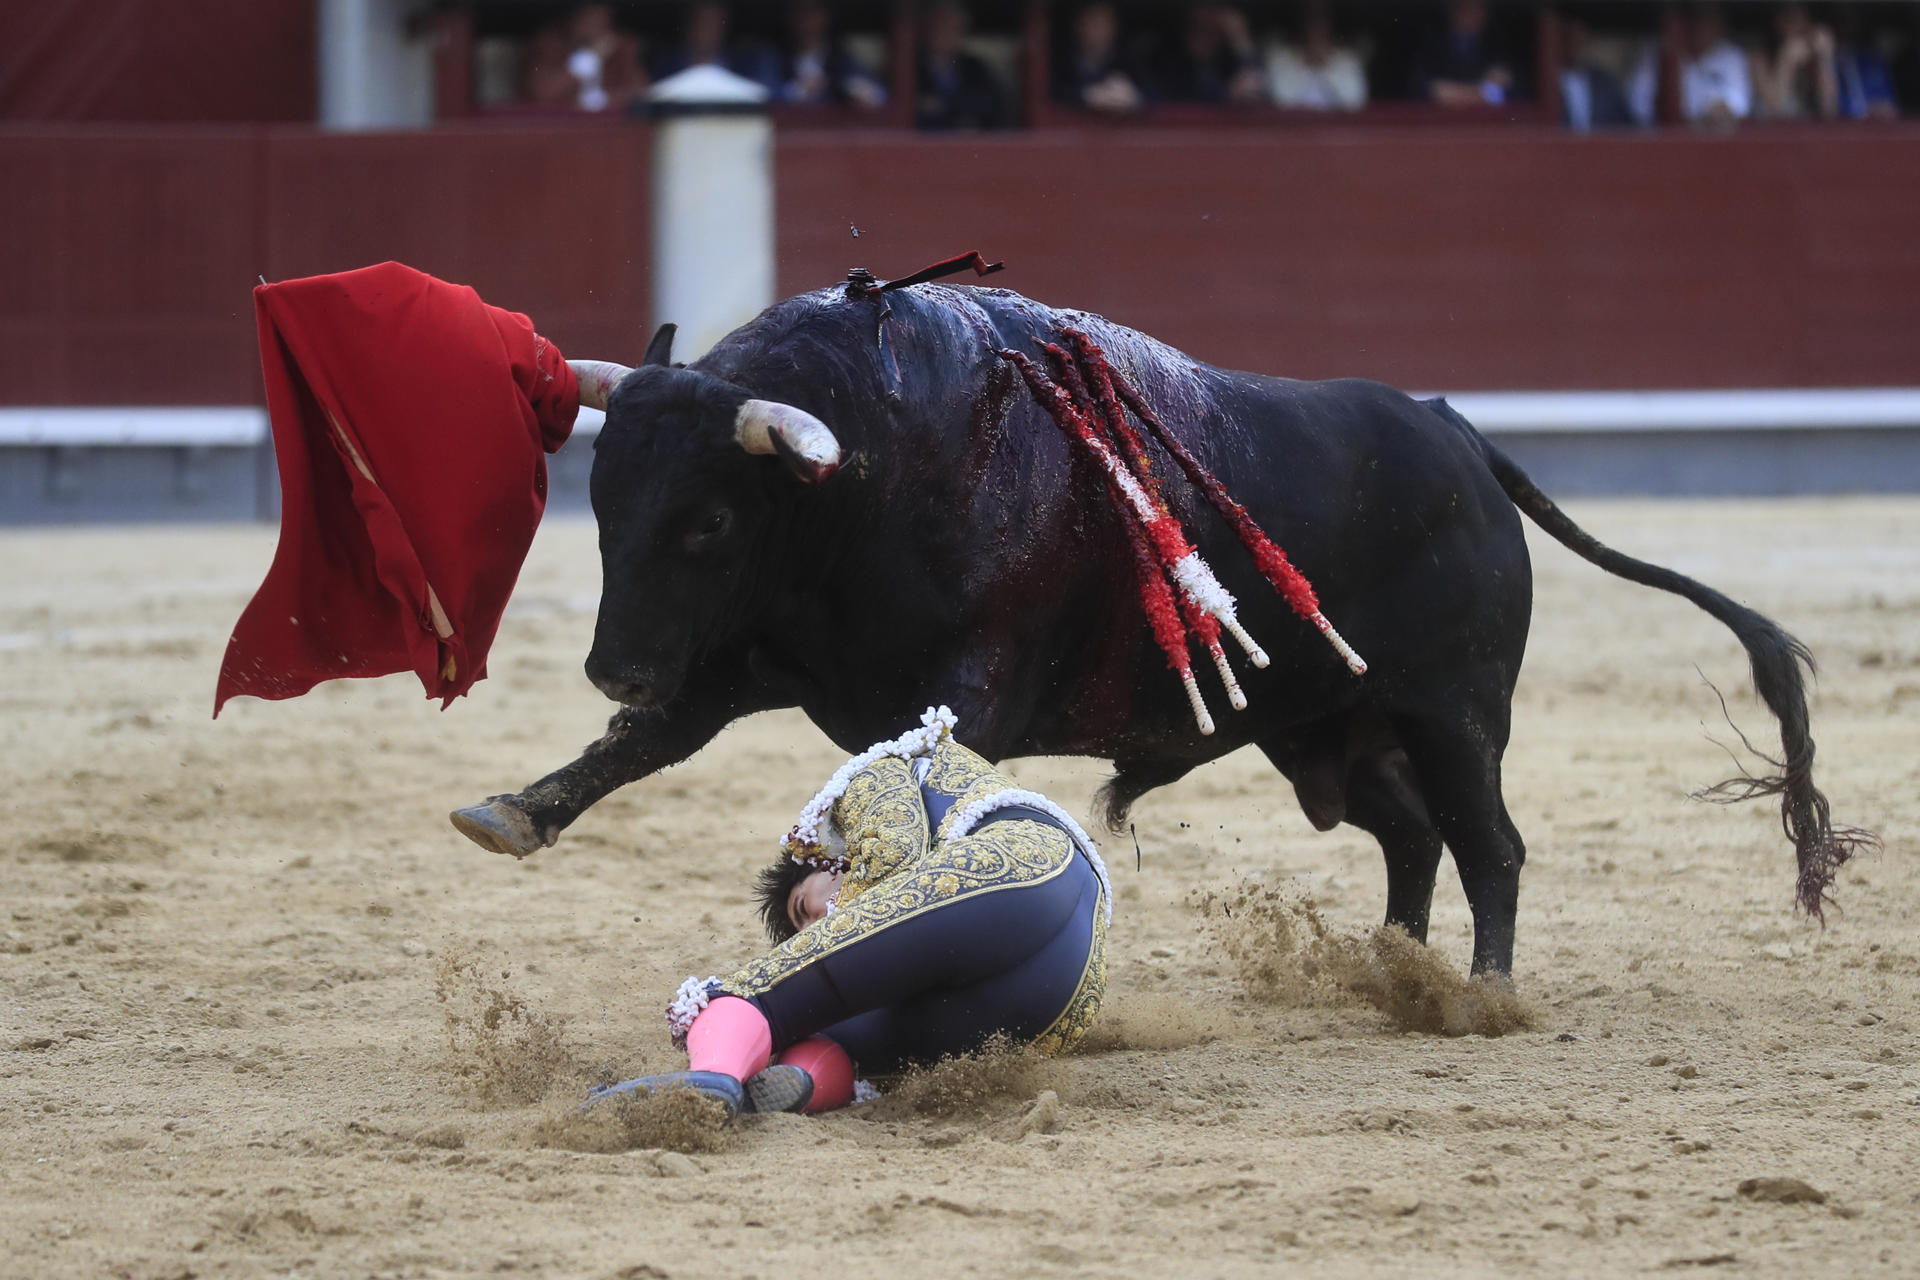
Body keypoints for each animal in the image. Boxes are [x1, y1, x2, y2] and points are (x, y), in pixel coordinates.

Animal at [445, 278, 1858, 971]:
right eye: (602, 498)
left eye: (707, 524)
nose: (611, 661)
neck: (862, 476)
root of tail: (1457, 432)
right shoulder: (760, 653)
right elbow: (649, 741)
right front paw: (514, 808)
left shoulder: (970, 678)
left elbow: (897, 761)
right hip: (1325, 726)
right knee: (1413, 838)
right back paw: (1391, 966)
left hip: (1457, 710)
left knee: (1490, 843)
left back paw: (1481, 991)